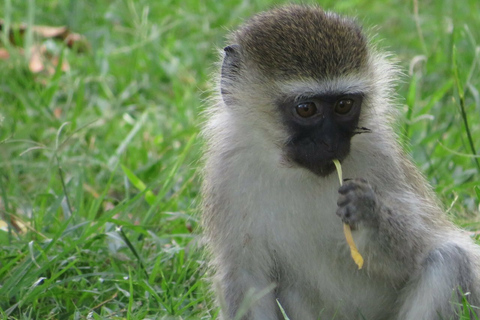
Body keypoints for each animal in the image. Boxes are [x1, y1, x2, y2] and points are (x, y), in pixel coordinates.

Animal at [201, 5, 478, 320]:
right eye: (305, 108)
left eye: (344, 105)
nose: (331, 142)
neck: (296, 172)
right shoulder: (226, 172)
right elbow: (247, 280)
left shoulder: (381, 155)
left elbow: (417, 251)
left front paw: (369, 212)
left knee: (449, 258)